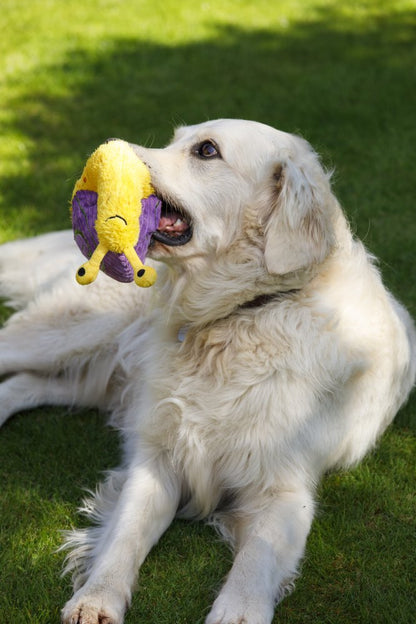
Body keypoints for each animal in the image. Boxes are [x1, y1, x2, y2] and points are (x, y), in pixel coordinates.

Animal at [0, 118, 414, 624]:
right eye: (176, 139)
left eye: (207, 151)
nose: (108, 149)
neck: (237, 315)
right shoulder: (157, 460)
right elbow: (125, 537)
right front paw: (96, 598)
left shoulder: (285, 490)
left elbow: (255, 561)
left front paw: (237, 612)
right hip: (72, 334)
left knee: (22, 384)